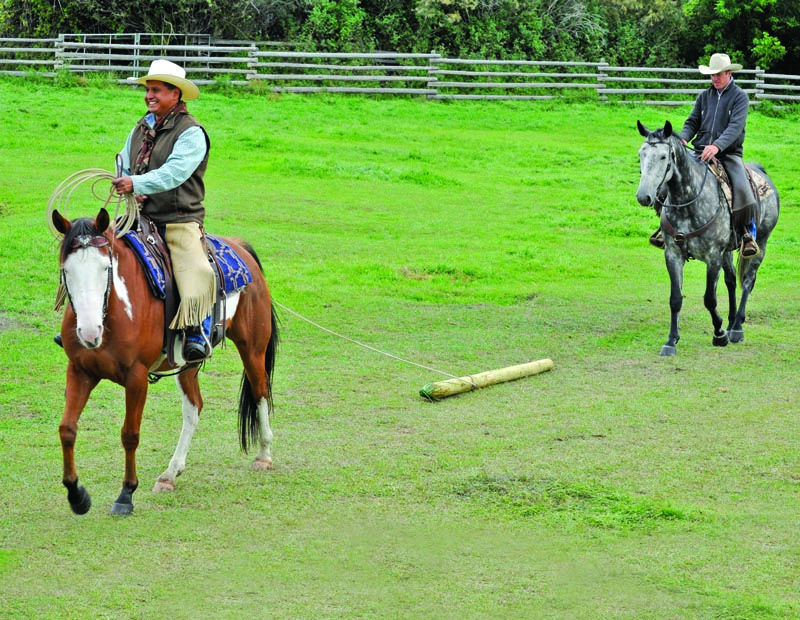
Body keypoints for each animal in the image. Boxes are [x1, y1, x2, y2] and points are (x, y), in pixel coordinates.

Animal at [52, 207, 278, 516]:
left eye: (105, 268)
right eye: (66, 270)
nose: (89, 332)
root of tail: (239, 247)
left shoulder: (136, 378)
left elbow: (130, 434)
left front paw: (125, 495)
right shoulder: (80, 370)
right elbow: (67, 429)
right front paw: (77, 496)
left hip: (252, 348)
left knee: (260, 391)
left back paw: (264, 455)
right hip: (187, 364)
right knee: (194, 407)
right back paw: (170, 473)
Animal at [636, 120, 779, 356]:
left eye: (664, 157)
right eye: (641, 154)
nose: (643, 196)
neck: (690, 201)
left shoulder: (713, 257)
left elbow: (709, 299)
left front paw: (719, 334)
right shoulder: (673, 255)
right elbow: (675, 299)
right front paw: (671, 341)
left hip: (761, 243)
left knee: (748, 281)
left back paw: (736, 328)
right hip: (728, 252)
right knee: (731, 281)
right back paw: (731, 322)